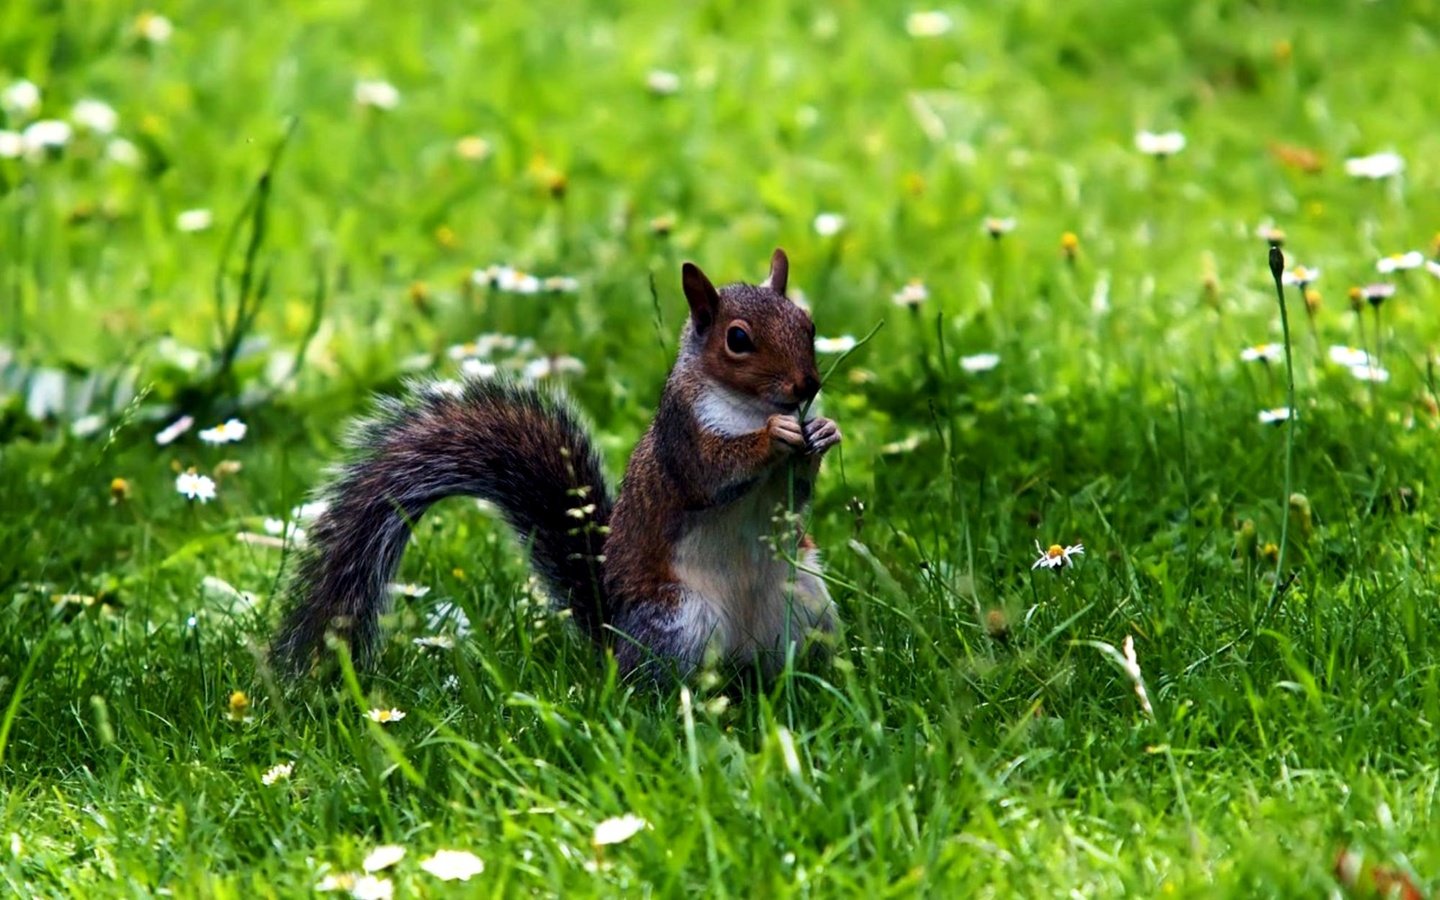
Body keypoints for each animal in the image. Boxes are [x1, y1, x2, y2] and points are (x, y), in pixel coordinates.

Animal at [273, 249, 840, 676]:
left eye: (809, 324)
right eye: (737, 339)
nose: (807, 386)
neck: (750, 406)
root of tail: (614, 637)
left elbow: (797, 493)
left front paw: (823, 433)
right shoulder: (682, 437)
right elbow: (712, 472)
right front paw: (774, 436)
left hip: (807, 601)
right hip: (679, 622)